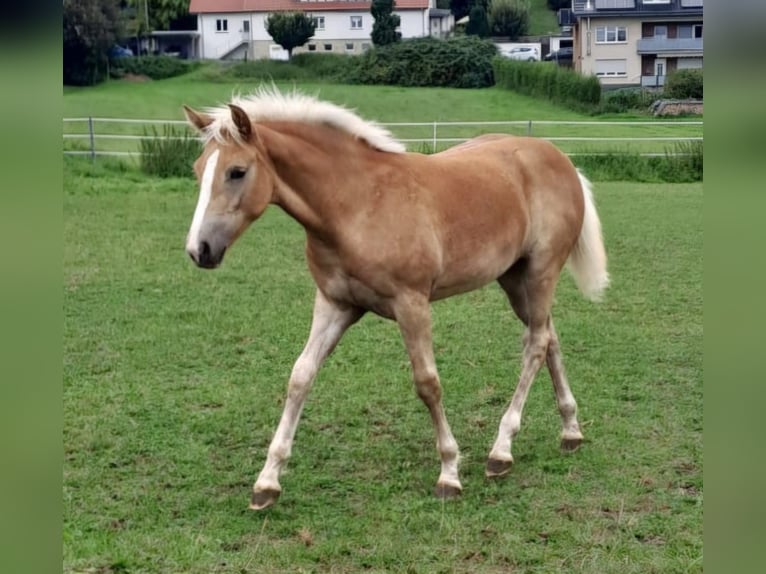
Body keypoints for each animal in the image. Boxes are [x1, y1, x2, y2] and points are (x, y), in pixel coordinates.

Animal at [183, 88, 608, 510]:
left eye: (237, 172)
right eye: (198, 170)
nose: (199, 250)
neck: (357, 204)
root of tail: (560, 158)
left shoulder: (412, 304)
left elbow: (427, 383)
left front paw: (449, 472)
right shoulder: (334, 304)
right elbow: (301, 376)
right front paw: (267, 481)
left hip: (540, 272)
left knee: (535, 344)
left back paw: (501, 451)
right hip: (514, 280)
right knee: (549, 337)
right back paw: (570, 430)